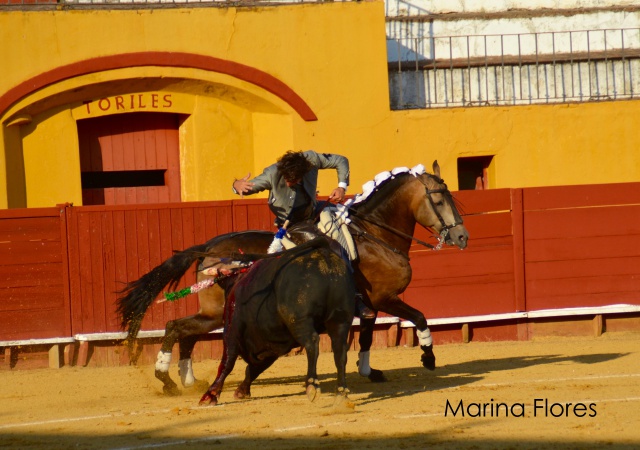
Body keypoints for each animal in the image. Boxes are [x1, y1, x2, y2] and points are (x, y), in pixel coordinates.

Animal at [199, 237, 356, 406]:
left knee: (312, 342)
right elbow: (254, 369)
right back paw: (341, 393)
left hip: (300, 320)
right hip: (340, 320)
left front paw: (209, 395)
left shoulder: (231, 332)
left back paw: (312, 384)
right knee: (340, 350)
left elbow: (227, 363)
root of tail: (322, 253)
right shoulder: (274, 347)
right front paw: (242, 390)